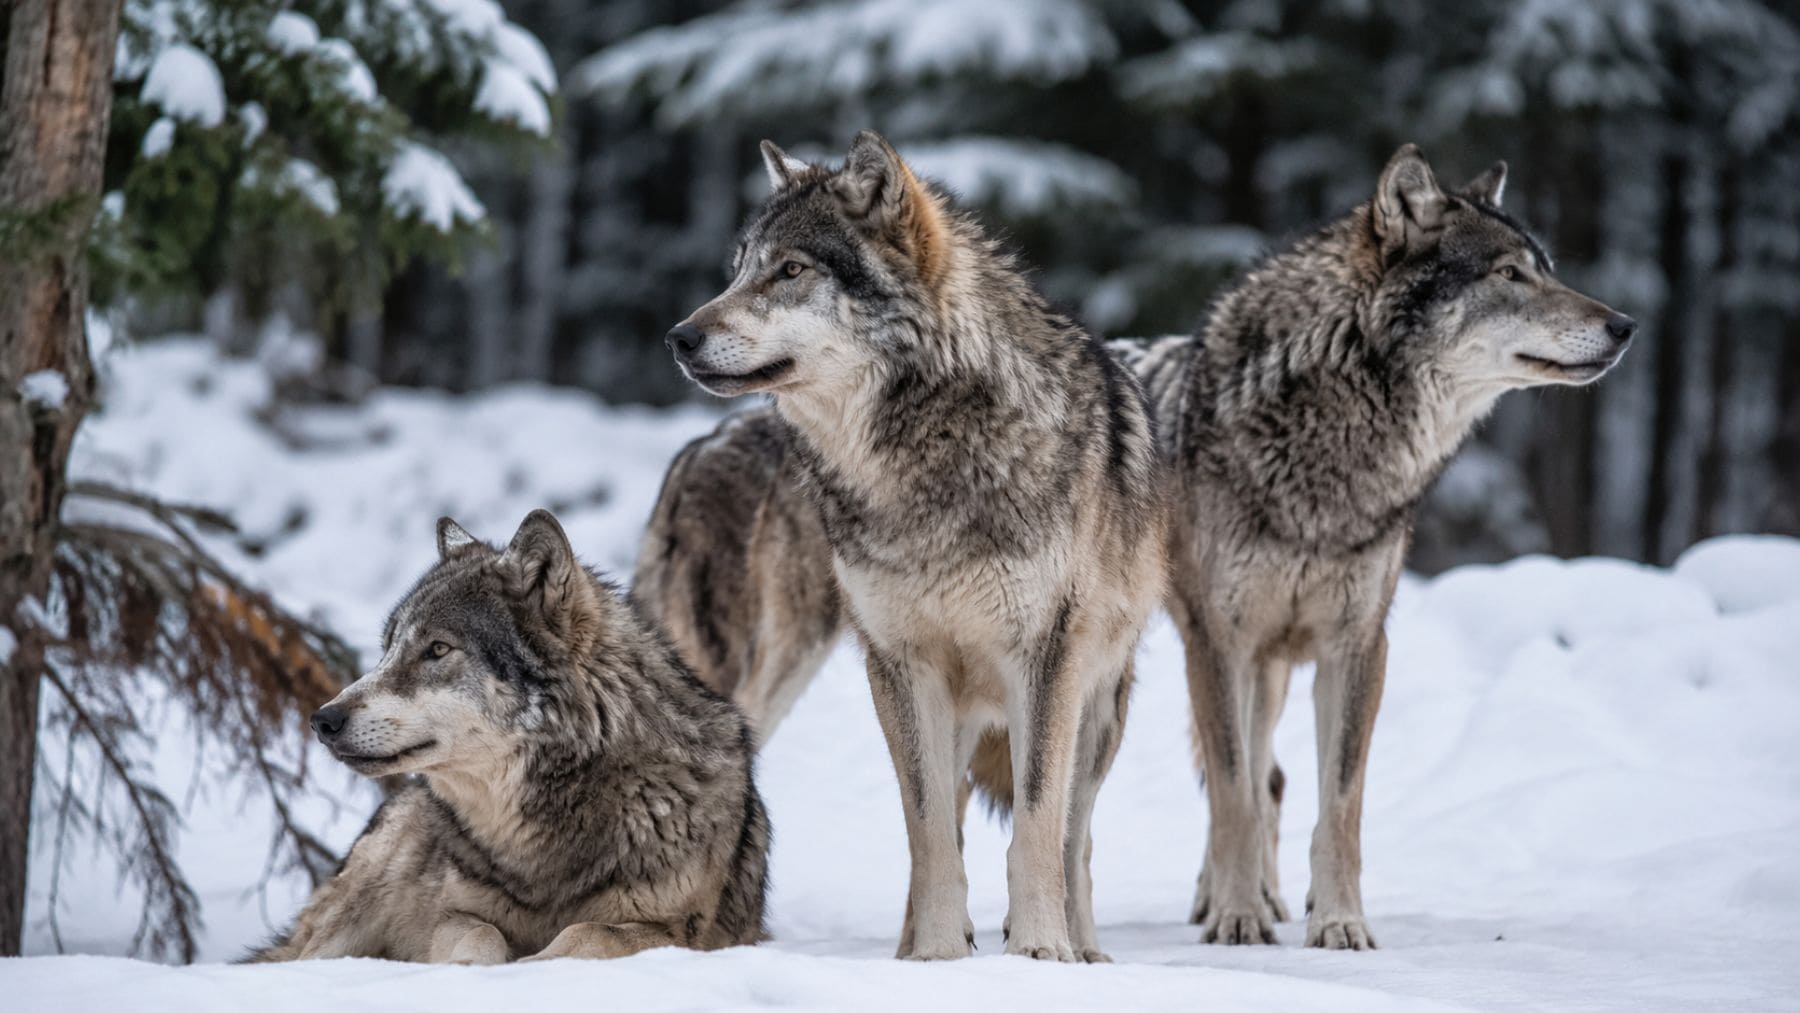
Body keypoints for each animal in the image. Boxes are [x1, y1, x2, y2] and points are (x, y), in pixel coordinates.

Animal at [248, 510, 770, 963]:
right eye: (388, 649)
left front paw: (535, 964)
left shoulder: (681, 933)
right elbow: (482, 933)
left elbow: (587, 932)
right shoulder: (454, 914)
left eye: (437, 649)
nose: (323, 720)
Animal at [657, 131, 1168, 963]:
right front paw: (934, 955)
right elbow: (926, 829)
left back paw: (1084, 946)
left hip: (1096, 709)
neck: (922, 461)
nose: (679, 337)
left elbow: (1037, 821)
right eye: (738, 268)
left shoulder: (1044, 660)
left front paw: (1039, 949)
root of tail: (696, 452)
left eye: (790, 270)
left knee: (1076, 833)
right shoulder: (899, 660)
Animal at [1128, 144, 1635, 950]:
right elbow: (1233, 792)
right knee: (1241, 780)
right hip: (1234, 661)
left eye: (1548, 268)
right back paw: (1230, 901)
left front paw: (1338, 922)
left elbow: (1339, 802)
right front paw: (1238, 918)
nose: (1625, 325)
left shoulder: (1359, 641)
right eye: (1509, 273)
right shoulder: (1218, 642)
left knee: (1271, 779)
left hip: (1272, 668)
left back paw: (1268, 896)